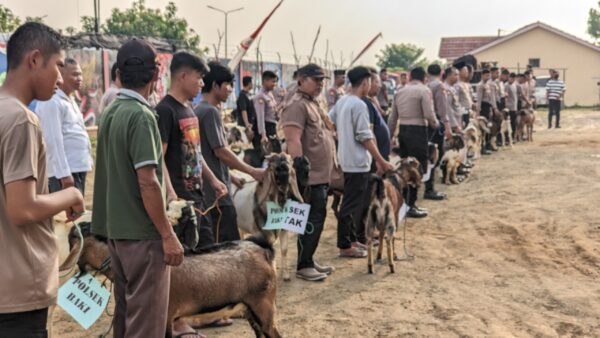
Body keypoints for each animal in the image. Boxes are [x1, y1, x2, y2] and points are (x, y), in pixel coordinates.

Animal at [230, 154, 304, 282]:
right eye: (276, 169)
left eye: (289, 168)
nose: (283, 189)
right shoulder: (260, 233)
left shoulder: (283, 230)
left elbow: (284, 249)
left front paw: (286, 275)